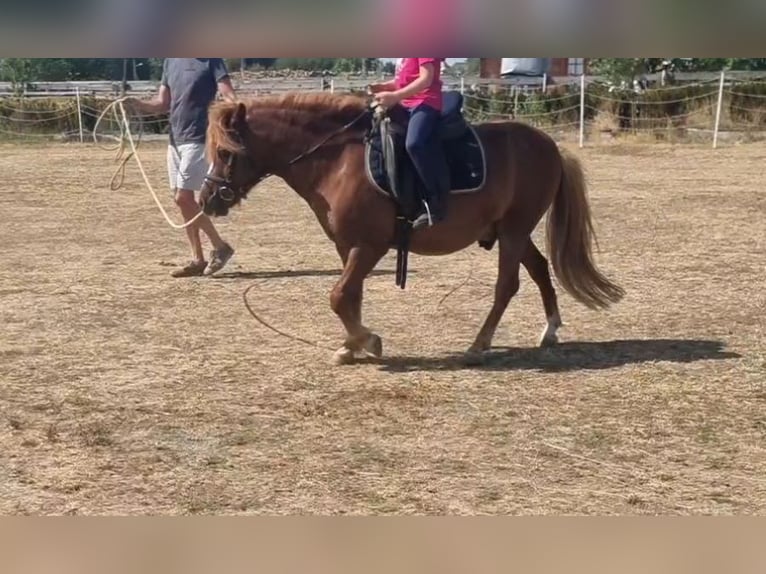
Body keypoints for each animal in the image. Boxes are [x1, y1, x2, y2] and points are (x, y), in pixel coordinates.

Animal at [198, 91, 625, 366]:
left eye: (225, 153)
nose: (207, 199)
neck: (338, 159)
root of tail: (550, 145)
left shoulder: (370, 246)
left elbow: (338, 296)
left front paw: (367, 341)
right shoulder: (347, 246)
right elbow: (350, 296)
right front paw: (352, 344)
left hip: (514, 232)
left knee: (507, 285)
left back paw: (479, 344)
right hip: (511, 232)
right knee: (538, 269)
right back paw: (550, 330)